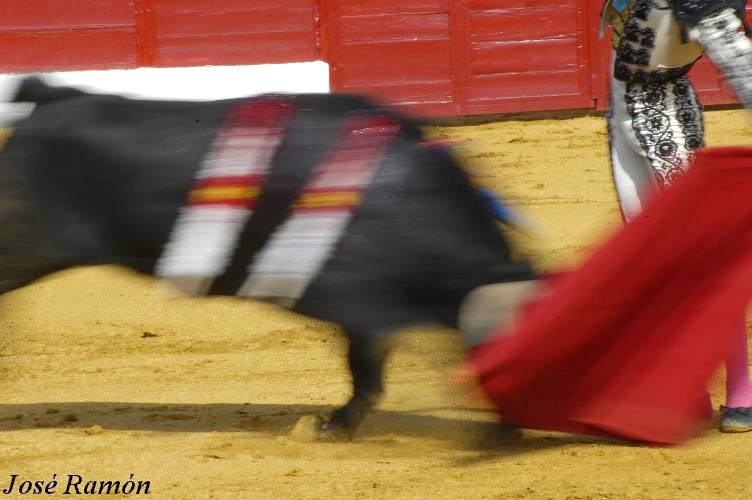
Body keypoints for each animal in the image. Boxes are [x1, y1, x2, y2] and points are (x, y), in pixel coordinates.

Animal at [0, 76, 536, 440]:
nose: (522, 428)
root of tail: (55, 98)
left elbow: (376, 367)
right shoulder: (358, 302)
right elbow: (365, 369)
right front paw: (328, 428)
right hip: (22, 246)